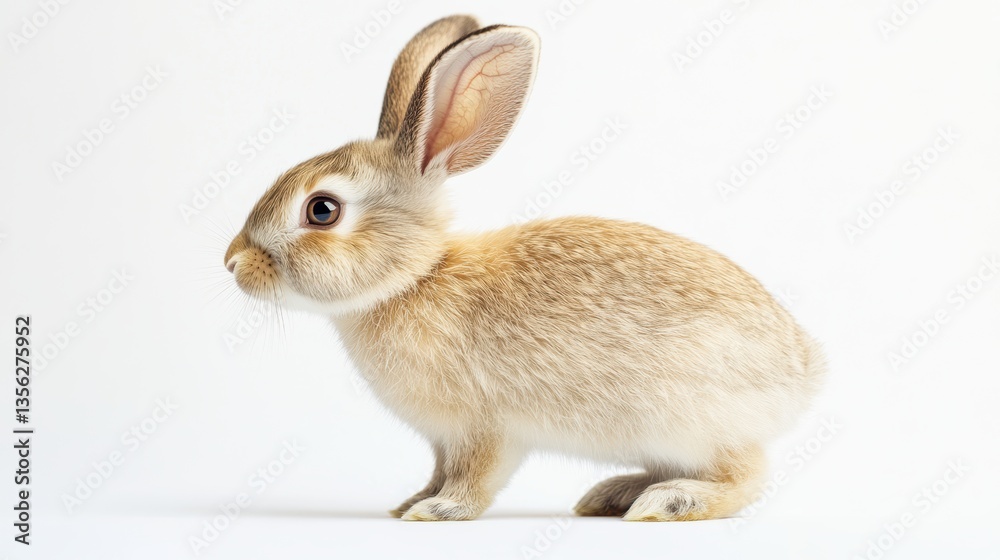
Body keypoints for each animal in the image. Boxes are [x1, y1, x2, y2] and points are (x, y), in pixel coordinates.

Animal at [224, 14, 826, 522]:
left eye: (322, 210)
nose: (233, 262)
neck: (414, 278)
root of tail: (805, 371)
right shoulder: (444, 439)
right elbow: (439, 470)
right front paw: (411, 502)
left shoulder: (483, 428)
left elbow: (474, 477)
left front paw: (439, 511)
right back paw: (614, 494)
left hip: (690, 421)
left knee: (747, 475)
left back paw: (670, 501)